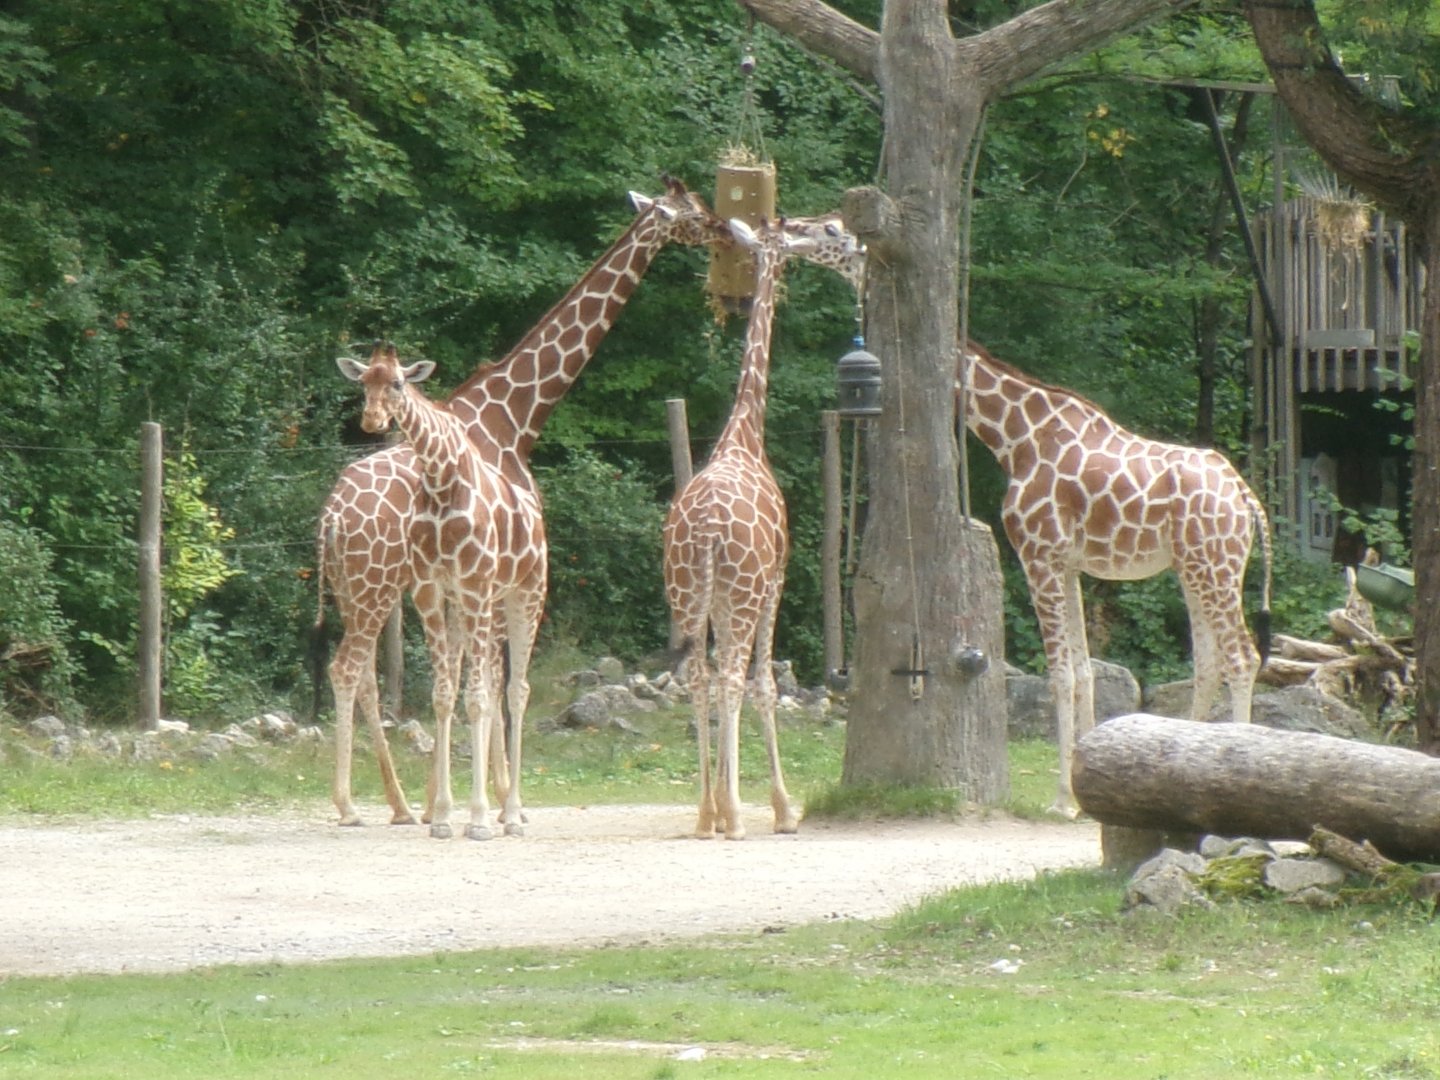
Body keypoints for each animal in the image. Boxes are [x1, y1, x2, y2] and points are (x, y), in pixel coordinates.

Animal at [336, 341, 528, 840]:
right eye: (362, 382)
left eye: (398, 382)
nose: (371, 420)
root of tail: (330, 519)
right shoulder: (451, 588)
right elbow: (473, 687)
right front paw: (479, 806)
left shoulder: (469, 589)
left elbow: (469, 686)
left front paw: (460, 806)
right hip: (375, 592)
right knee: (349, 669)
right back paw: (361, 806)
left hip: (354, 595)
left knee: (360, 673)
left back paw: (391, 805)